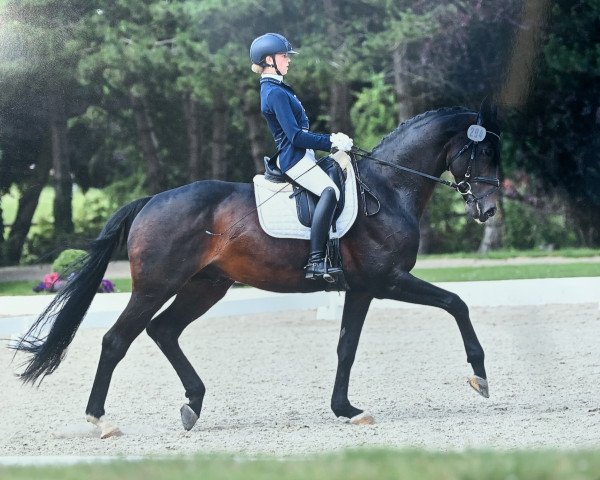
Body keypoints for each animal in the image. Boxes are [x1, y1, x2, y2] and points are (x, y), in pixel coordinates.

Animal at [12, 101, 502, 438]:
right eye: (480, 154)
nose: (490, 210)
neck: (388, 188)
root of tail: (150, 202)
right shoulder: (389, 280)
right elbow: (456, 302)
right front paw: (479, 376)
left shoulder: (362, 288)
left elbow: (347, 347)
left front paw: (345, 409)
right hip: (156, 286)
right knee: (117, 340)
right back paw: (101, 421)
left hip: (206, 287)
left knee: (164, 331)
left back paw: (193, 404)